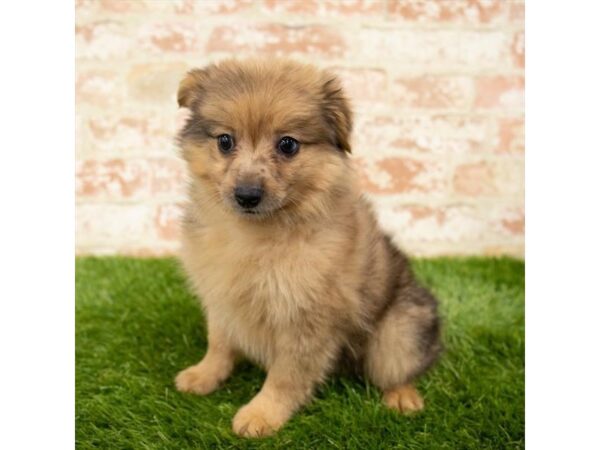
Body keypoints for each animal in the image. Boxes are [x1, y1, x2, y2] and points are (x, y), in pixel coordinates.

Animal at [173, 58, 440, 438]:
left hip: (398, 329)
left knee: (400, 367)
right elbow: (219, 344)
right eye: (225, 141)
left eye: (288, 145)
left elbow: (285, 376)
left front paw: (262, 414)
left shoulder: (306, 318)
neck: (257, 234)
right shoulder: (222, 297)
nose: (247, 195)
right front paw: (204, 375)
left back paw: (403, 397)